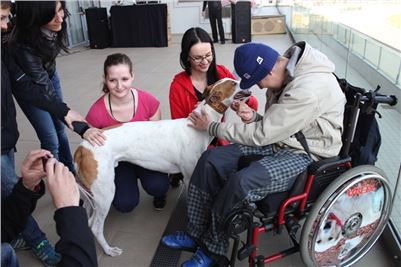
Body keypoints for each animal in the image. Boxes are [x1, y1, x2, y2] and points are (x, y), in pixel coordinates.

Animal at [74, 78, 250, 258]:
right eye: (233, 83)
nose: (244, 80)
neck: (196, 126)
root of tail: (82, 147)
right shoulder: (190, 176)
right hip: (105, 194)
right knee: (95, 226)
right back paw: (109, 250)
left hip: (92, 195)